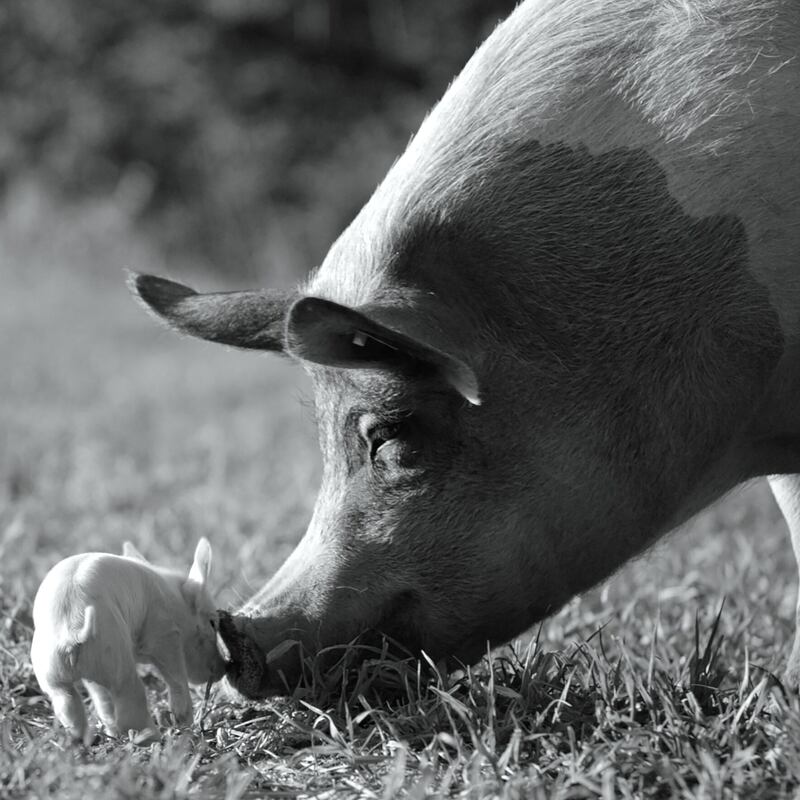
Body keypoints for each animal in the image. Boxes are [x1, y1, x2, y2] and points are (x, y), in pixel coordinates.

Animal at [30, 538, 226, 740]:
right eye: (212, 623)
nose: (223, 668)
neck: (175, 602)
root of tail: (73, 631)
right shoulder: (165, 633)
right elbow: (176, 679)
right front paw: (185, 725)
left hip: (54, 673)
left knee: (72, 705)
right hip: (116, 657)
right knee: (129, 701)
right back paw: (155, 738)